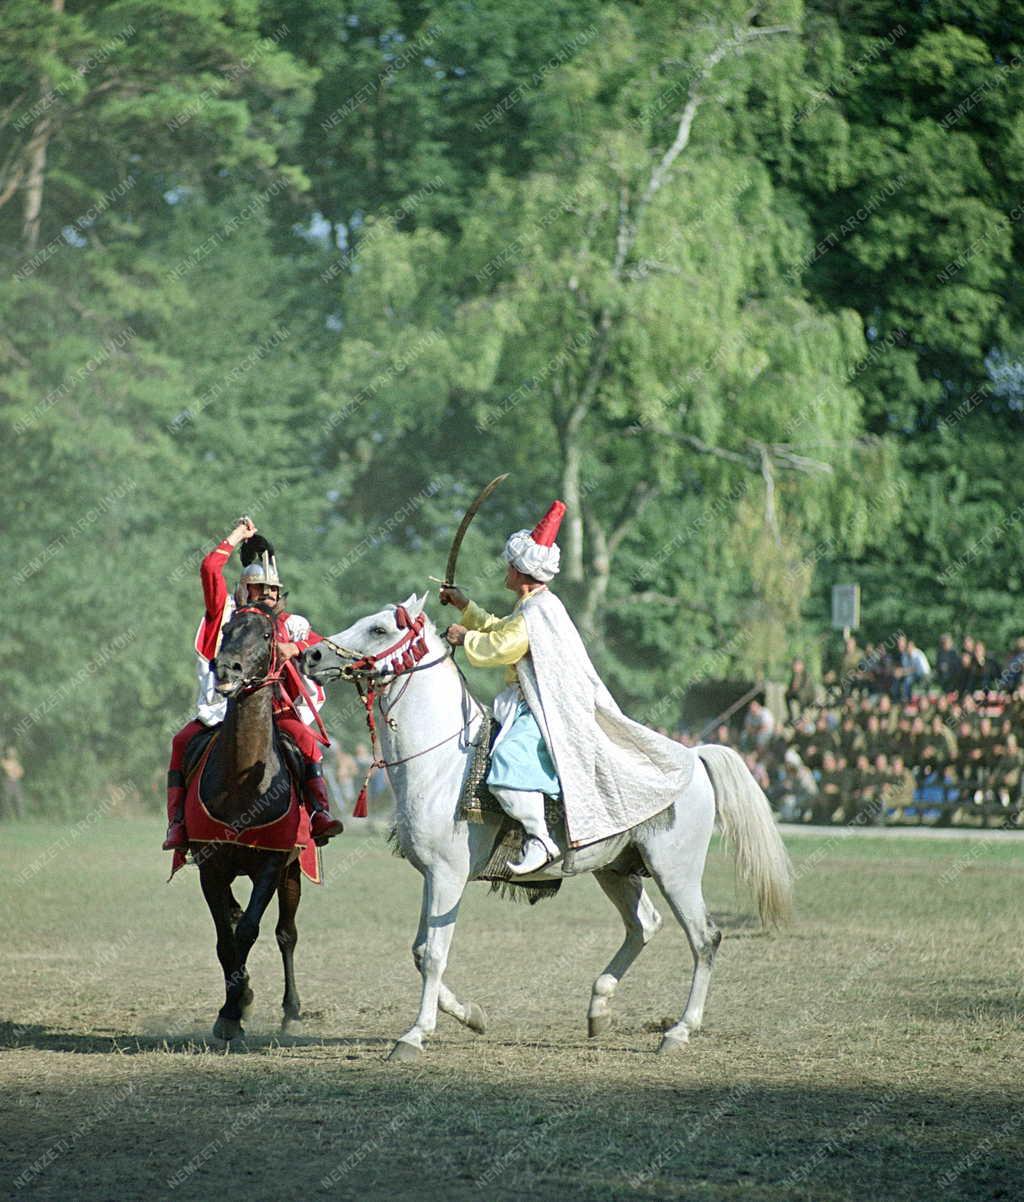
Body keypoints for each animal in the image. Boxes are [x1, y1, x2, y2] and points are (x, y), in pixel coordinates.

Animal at [192, 605, 304, 1038]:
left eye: (268, 635)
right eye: (225, 629)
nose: (226, 667)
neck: (243, 786)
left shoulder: (272, 864)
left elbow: (250, 931)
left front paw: (236, 1008)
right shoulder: (210, 866)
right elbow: (226, 940)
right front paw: (230, 1012)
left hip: (293, 872)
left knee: (286, 933)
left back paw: (292, 1011)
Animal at [300, 593, 798, 1062]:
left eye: (379, 628)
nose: (311, 656)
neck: (441, 763)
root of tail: (693, 756)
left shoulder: (447, 876)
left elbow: (435, 956)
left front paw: (415, 1035)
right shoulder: (432, 877)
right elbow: (422, 952)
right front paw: (472, 1016)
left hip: (676, 872)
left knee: (704, 938)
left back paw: (678, 1031)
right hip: (615, 870)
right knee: (643, 925)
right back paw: (599, 1009)